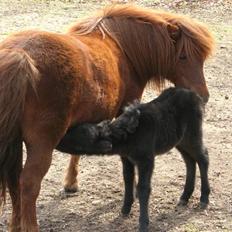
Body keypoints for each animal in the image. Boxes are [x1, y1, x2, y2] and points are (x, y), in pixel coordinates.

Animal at [56, 87, 210, 232]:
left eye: (79, 137)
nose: (59, 140)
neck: (129, 135)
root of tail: (194, 95)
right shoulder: (127, 158)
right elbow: (128, 180)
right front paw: (125, 210)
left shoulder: (146, 160)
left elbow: (143, 188)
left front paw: (143, 223)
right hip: (180, 141)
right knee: (190, 161)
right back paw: (185, 197)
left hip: (193, 134)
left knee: (203, 157)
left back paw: (204, 198)